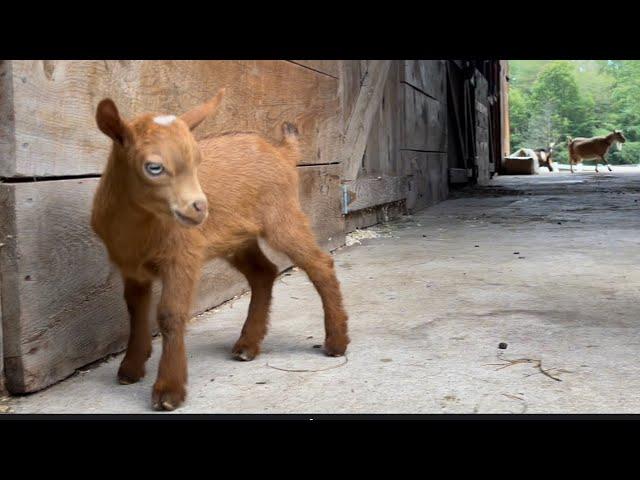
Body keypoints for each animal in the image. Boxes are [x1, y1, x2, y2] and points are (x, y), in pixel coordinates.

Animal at [90, 91, 350, 412]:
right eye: (154, 167)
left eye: (197, 161)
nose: (200, 208)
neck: (137, 227)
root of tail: (283, 153)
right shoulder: (131, 266)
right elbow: (135, 311)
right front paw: (130, 369)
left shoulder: (183, 254)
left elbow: (170, 315)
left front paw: (169, 391)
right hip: (237, 236)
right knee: (264, 272)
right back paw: (248, 345)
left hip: (282, 216)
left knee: (319, 263)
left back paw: (336, 342)